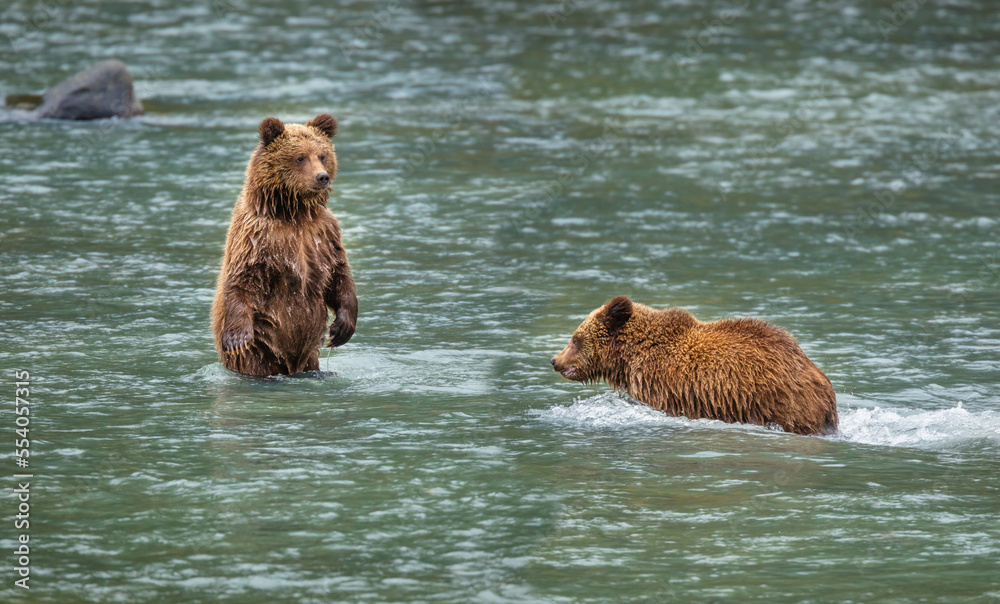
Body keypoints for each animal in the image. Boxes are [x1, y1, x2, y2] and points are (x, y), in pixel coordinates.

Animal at [211, 114, 357, 377]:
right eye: (300, 157)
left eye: (322, 155)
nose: (322, 177)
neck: (293, 214)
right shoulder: (255, 236)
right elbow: (242, 278)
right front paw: (237, 338)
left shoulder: (324, 234)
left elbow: (338, 273)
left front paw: (342, 328)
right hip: (263, 343)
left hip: (309, 355)